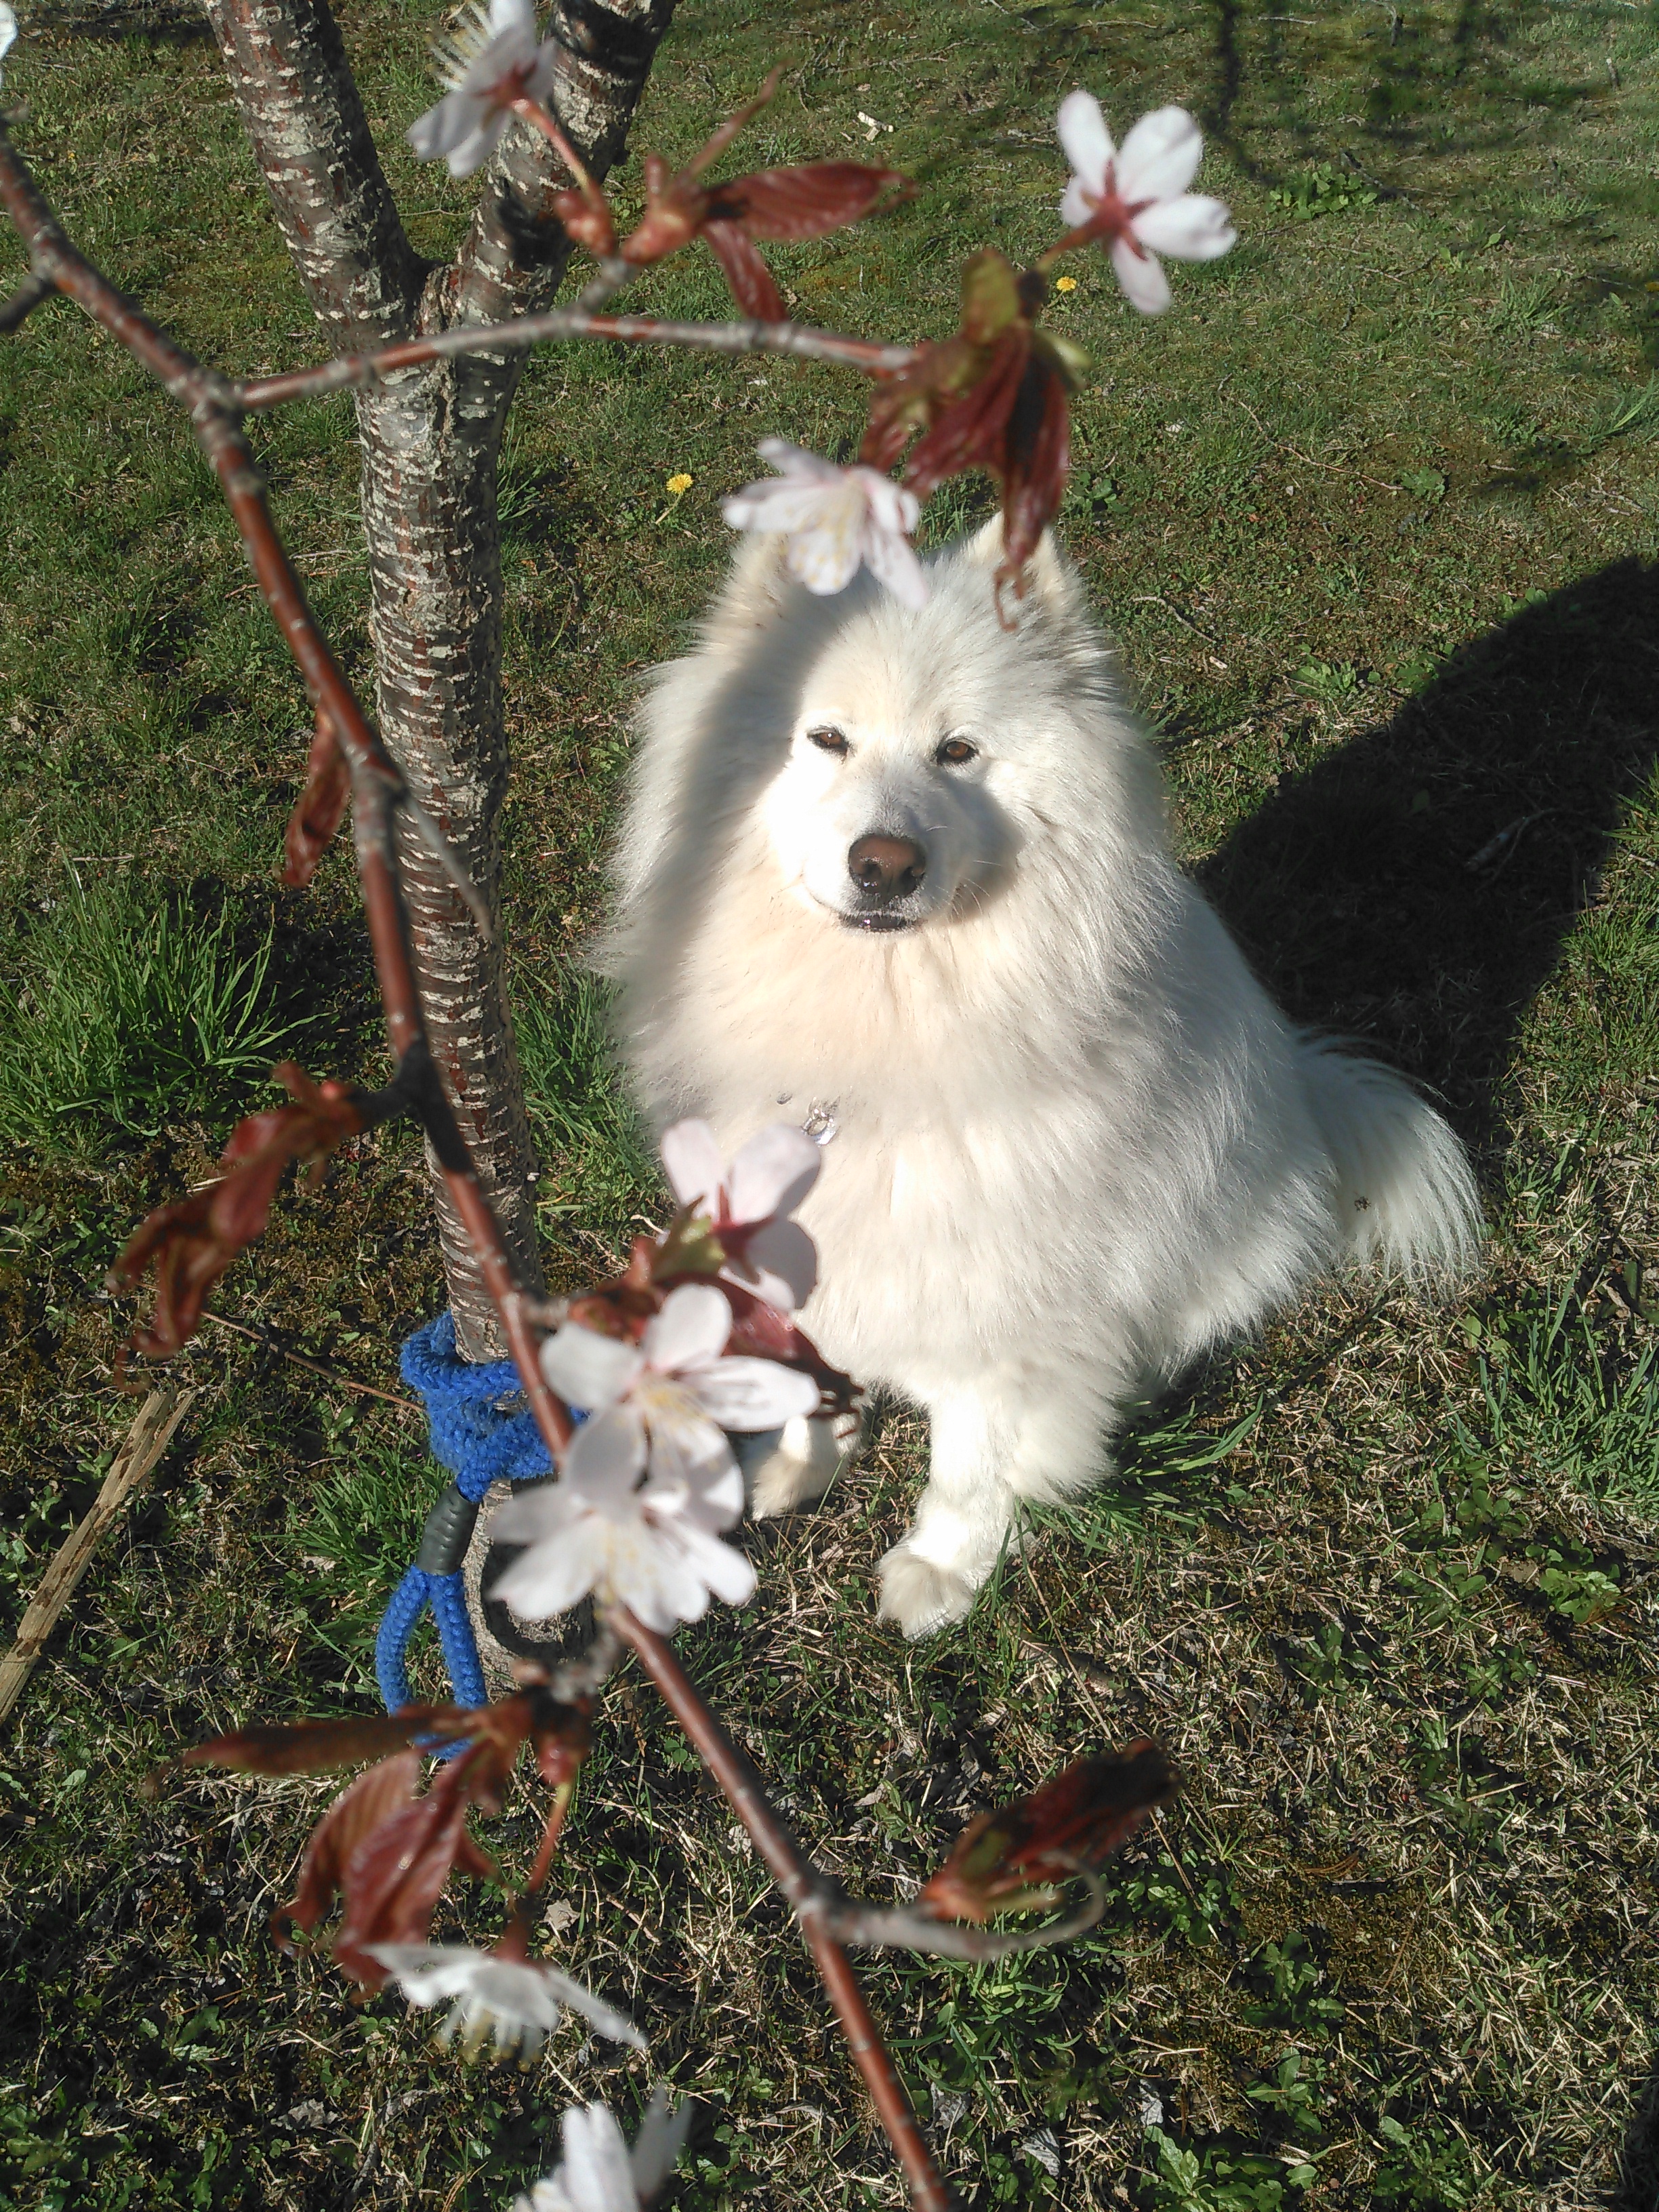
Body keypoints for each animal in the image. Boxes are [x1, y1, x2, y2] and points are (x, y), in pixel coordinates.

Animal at [606, 513, 1486, 1628]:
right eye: (827, 739)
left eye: (958, 751)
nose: (885, 864)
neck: (882, 1027)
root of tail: (1306, 1093)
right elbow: (825, 1362)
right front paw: (806, 1453)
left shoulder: (1010, 1297)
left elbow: (971, 1460)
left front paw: (944, 1568)